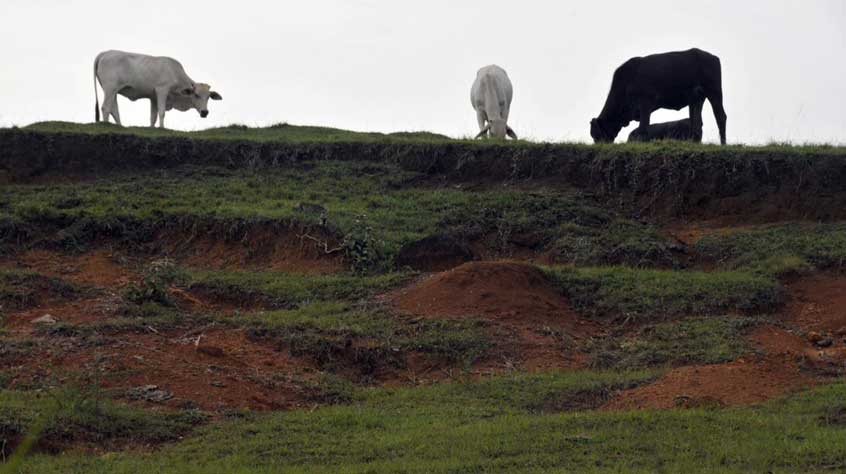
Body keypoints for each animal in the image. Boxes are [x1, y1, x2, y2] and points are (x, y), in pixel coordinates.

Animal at [93, 50, 222, 128]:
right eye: (196, 95)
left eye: (208, 97)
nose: (205, 112)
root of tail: (105, 53)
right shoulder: (162, 90)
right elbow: (161, 112)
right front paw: (162, 127)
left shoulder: (153, 97)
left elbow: (153, 117)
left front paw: (152, 128)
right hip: (110, 88)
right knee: (105, 108)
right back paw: (106, 125)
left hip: (114, 91)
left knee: (114, 109)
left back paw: (120, 126)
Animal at [590, 48, 727, 145]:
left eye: (596, 134)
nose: (600, 145)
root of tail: (712, 56)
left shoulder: (645, 103)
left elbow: (643, 129)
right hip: (696, 98)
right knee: (696, 123)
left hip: (714, 91)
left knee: (720, 116)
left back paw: (723, 144)